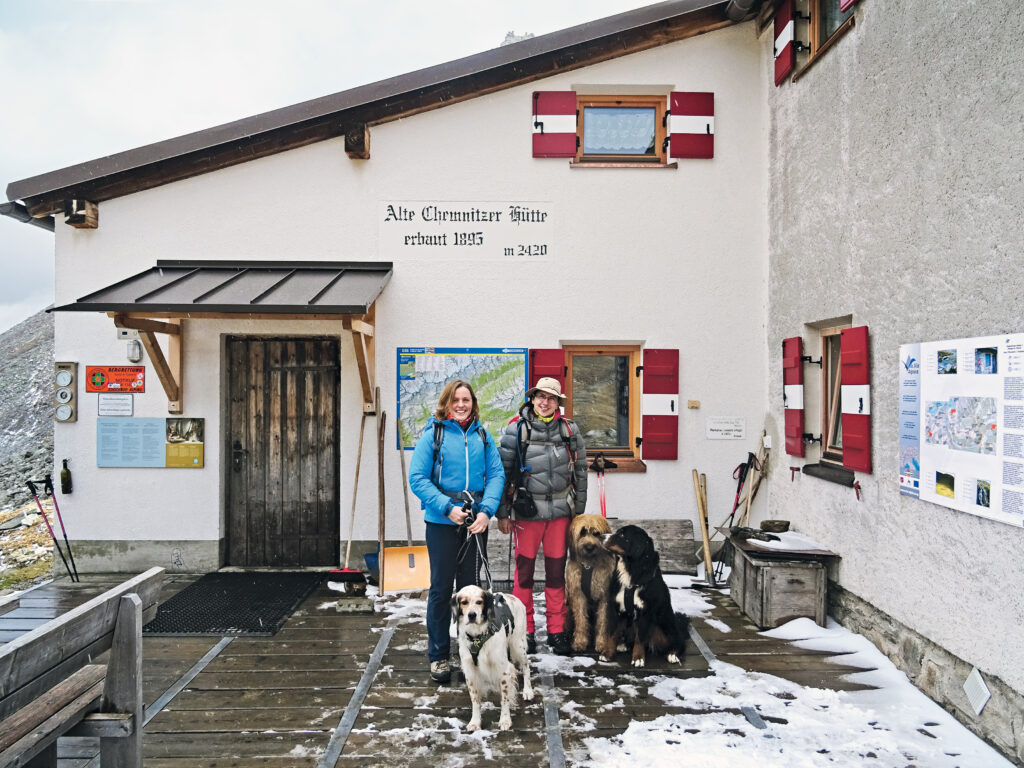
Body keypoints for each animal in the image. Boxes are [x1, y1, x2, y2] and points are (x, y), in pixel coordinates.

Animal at [454, 585, 536, 729]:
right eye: (464, 602)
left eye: (479, 602)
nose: (472, 615)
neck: (477, 637)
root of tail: (512, 597)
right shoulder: (470, 672)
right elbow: (475, 700)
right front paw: (475, 722)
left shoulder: (503, 670)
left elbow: (505, 698)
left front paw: (505, 720)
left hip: (517, 646)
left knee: (526, 666)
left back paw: (528, 691)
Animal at [561, 514, 614, 659]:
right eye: (582, 532)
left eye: (596, 533)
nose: (589, 547)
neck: (589, 565)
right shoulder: (578, 595)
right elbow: (581, 620)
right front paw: (580, 642)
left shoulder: (605, 595)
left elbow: (603, 620)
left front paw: (601, 643)